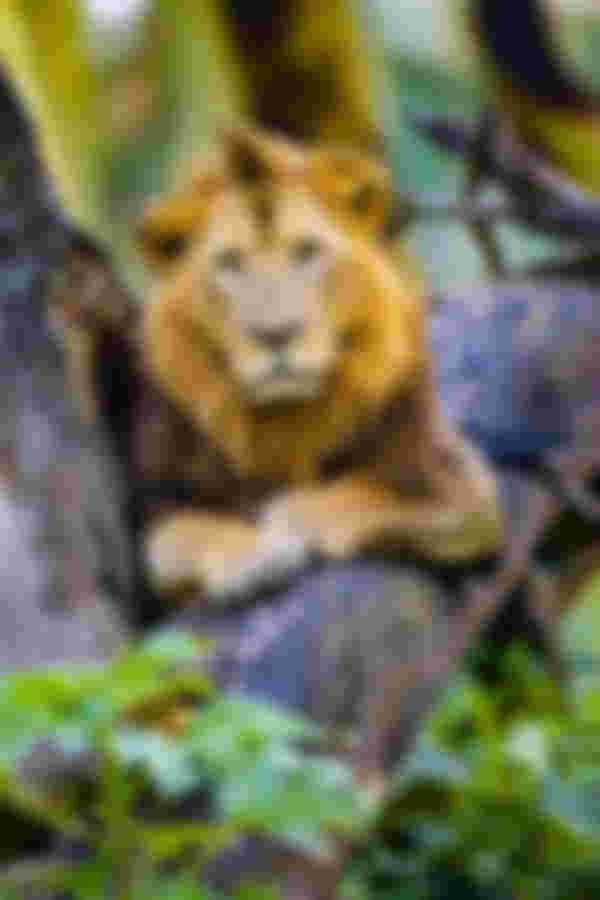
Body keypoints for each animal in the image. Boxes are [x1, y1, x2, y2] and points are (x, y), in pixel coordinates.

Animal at [135, 126, 502, 604]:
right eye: (229, 262)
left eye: (306, 251)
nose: (276, 335)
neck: (289, 425)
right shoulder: (163, 509)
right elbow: (181, 535)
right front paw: (250, 554)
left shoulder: (462, 486)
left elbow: (363, 494)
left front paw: (290, 518)